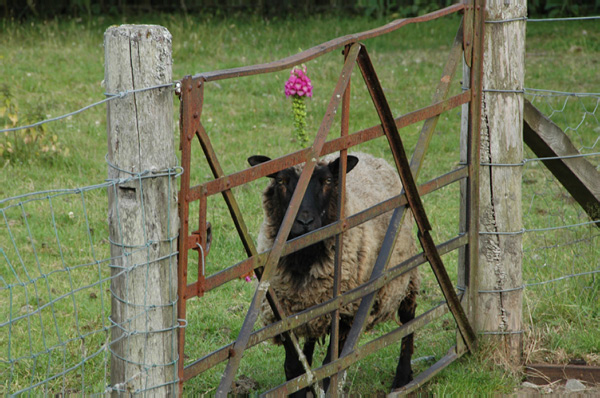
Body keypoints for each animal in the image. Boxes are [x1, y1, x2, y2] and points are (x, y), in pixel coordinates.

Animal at [246, 150, 420, 394]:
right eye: (281, 181)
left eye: (328, 181)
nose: (305, 221)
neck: (306, 258)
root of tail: (372, 155)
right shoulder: (284, 315)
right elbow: (294, 369)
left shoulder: (347, 313)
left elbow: (331, 366)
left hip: (406, 274)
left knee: (408, 320)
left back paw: (403, 378)